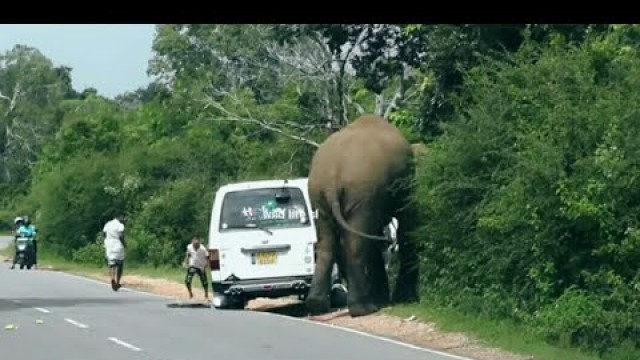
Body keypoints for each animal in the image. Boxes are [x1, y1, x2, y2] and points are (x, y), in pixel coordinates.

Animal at [304, 114, 420, 316]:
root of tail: (332, 176)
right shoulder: (403, 188)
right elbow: (407, 227)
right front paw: (403, 299)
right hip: (360, 191)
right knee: (356, 243)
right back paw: (364, 309)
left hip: (320, 196)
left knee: (326, 243)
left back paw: (317, 306)